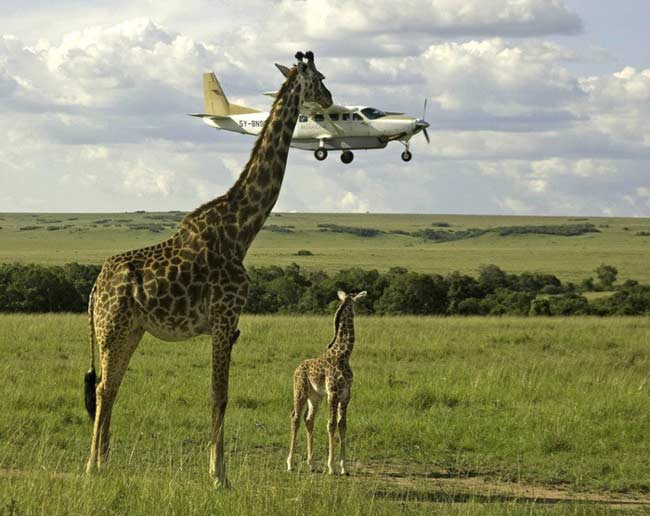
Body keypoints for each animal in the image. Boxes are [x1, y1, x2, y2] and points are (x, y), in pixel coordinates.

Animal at [83, 51, 332, 488]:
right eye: (318, 77)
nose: (331, 98)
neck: (242, 229)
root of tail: (96, 288)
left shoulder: (228, 324)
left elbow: (219, 395)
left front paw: (218, 471)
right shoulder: (223, 317)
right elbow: (220, 395)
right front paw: (220, 476)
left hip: (130, 330)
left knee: (110, 387)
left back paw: (105, 462)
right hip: (111, 328)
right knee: (102, 388)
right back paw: (93, 465)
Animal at [287, 290, 367, 475]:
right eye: (358, 301)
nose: (364, 310)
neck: (343, 355)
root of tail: (296, 368)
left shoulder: (346, 394)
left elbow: (342, 424)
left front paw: (344, 467)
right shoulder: (333, 393)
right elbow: (331, 424)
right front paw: (331, 466)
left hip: (315, 396)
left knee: (309, 420)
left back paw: (311, 464)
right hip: (300, 392)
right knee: (295, 417)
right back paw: (290, 464)